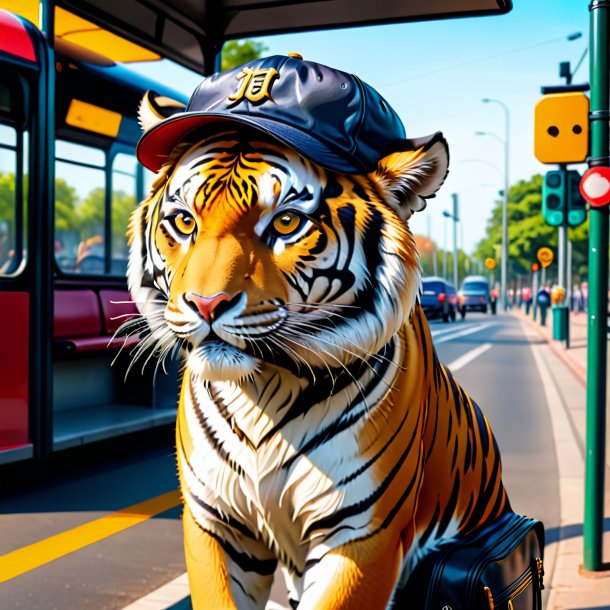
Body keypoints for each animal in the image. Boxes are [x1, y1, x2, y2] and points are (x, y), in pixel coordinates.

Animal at [128, 64, 508, 608]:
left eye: (286, 222)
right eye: (183, 221)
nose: (206, 304)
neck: (260, 391)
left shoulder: (361, 535)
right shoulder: (216, 526)